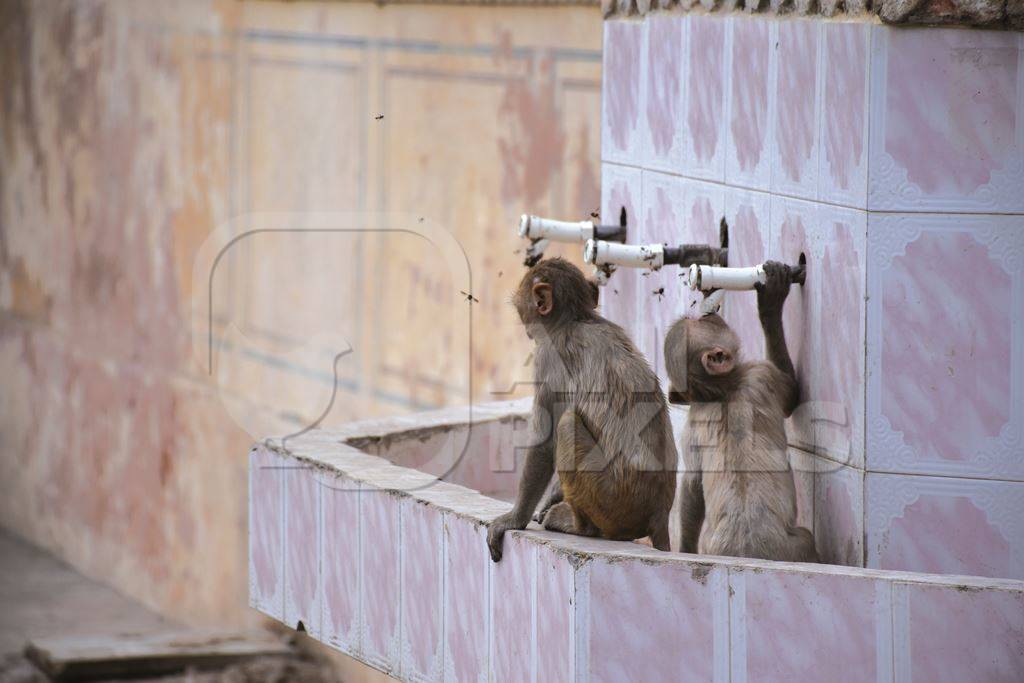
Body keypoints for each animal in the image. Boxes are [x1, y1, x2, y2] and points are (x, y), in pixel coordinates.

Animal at [487, 255, 679, 561]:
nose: (527, 330)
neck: (577, 319)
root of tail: (659, 513)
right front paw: (550, 497)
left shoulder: (546, 359)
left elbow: (544, 443)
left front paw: (514, 519)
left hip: (610, 500)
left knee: (567, 425)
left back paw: (578, 526)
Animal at [663, 259, 815, 565]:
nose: (708, 313)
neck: (722, 391)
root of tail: (745, 550)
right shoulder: (761, 374)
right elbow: (793, 394)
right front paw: (770, 304)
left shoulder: (690, 426)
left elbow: (692, 484)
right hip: (792, 548)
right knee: (806, 537)